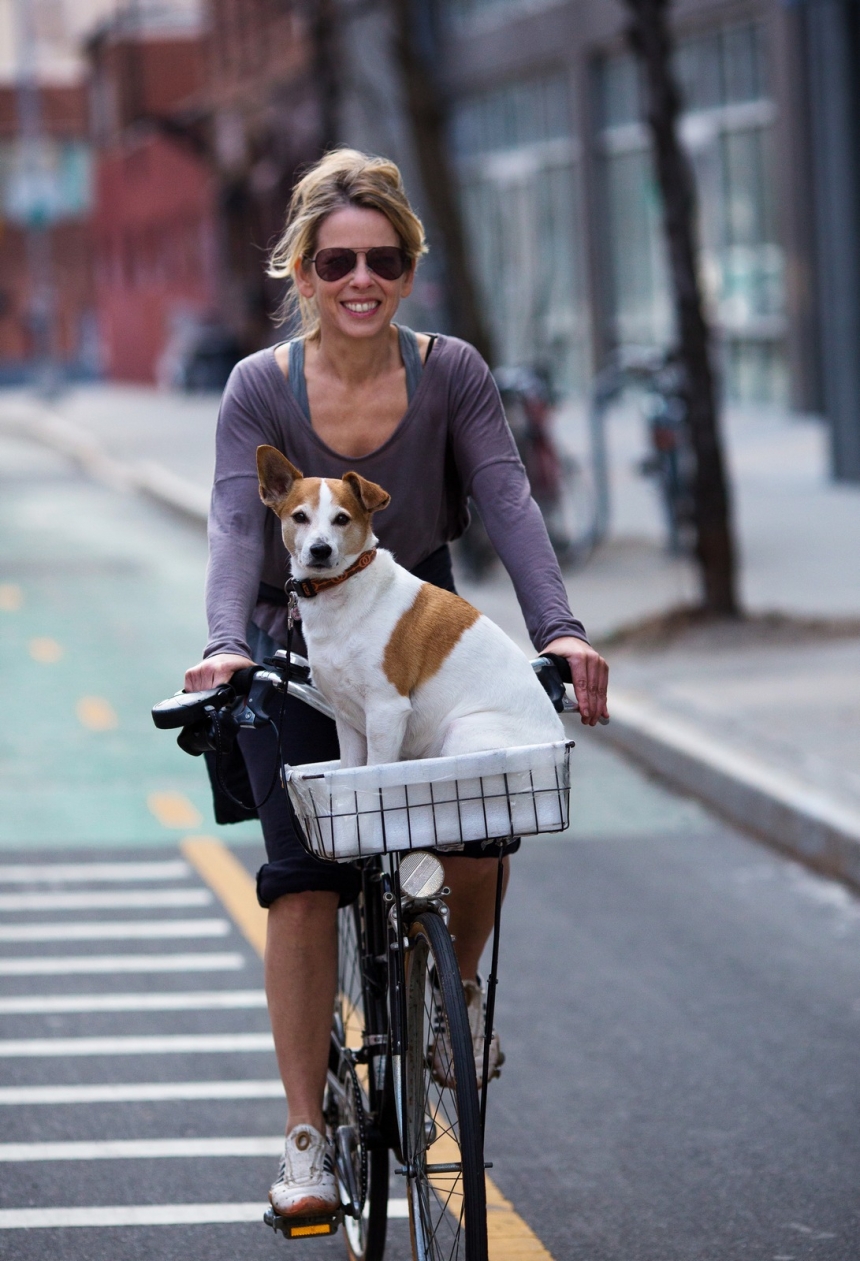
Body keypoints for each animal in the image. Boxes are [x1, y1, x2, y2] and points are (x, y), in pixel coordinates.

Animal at [254, 448, 562, 771]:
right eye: (300, 517)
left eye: (341, 519)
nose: (320, 550)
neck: (344, 586)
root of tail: (558, 743)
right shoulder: (347, 719)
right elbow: (349, 770)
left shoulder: (386, 711)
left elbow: (374, 770)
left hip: (461, 734)